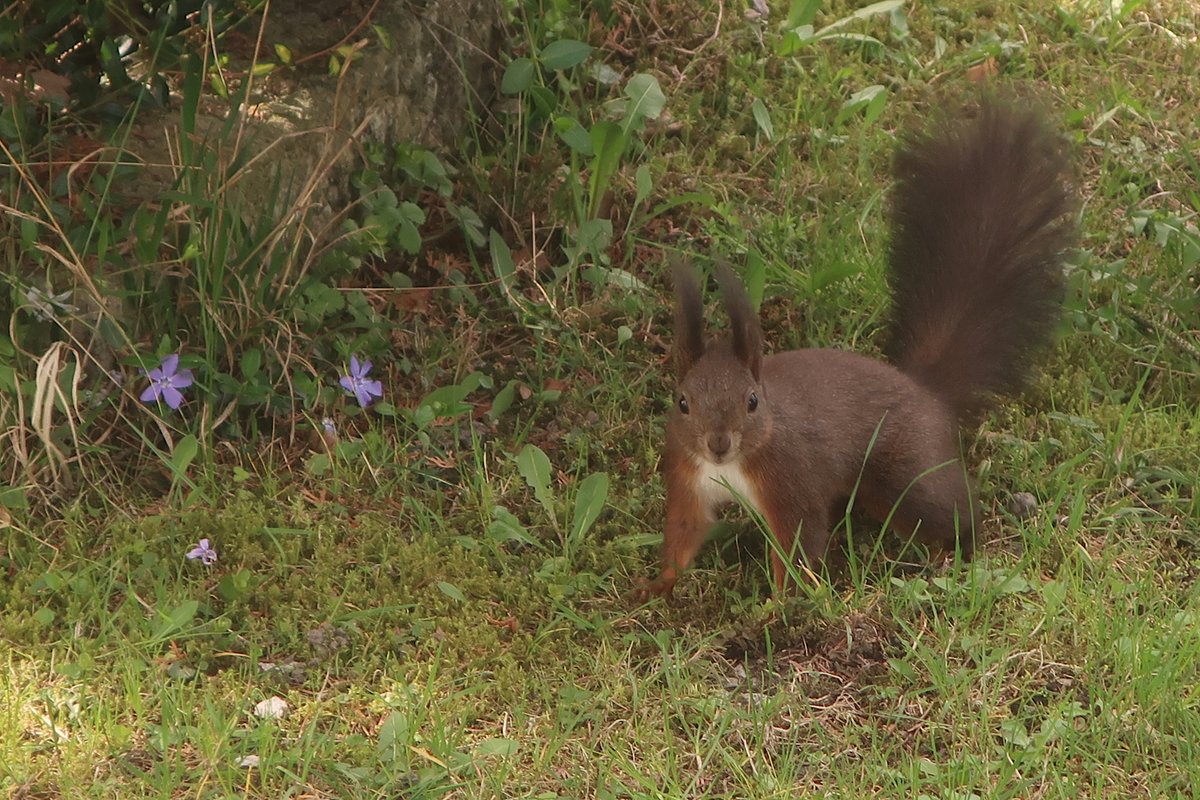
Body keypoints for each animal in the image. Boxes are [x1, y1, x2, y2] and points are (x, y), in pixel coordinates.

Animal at [638, 97, 1080, 599]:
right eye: (682, 402)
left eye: (752, 400)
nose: (717, 443)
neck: (733, 464)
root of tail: (926, 392)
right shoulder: (687, 477)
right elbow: (684, 532)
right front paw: (656, 586)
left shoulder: (792, 480)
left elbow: (799, 542)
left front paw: (781, 604)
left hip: (907, 473)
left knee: (953, 507)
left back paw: (961, 551)